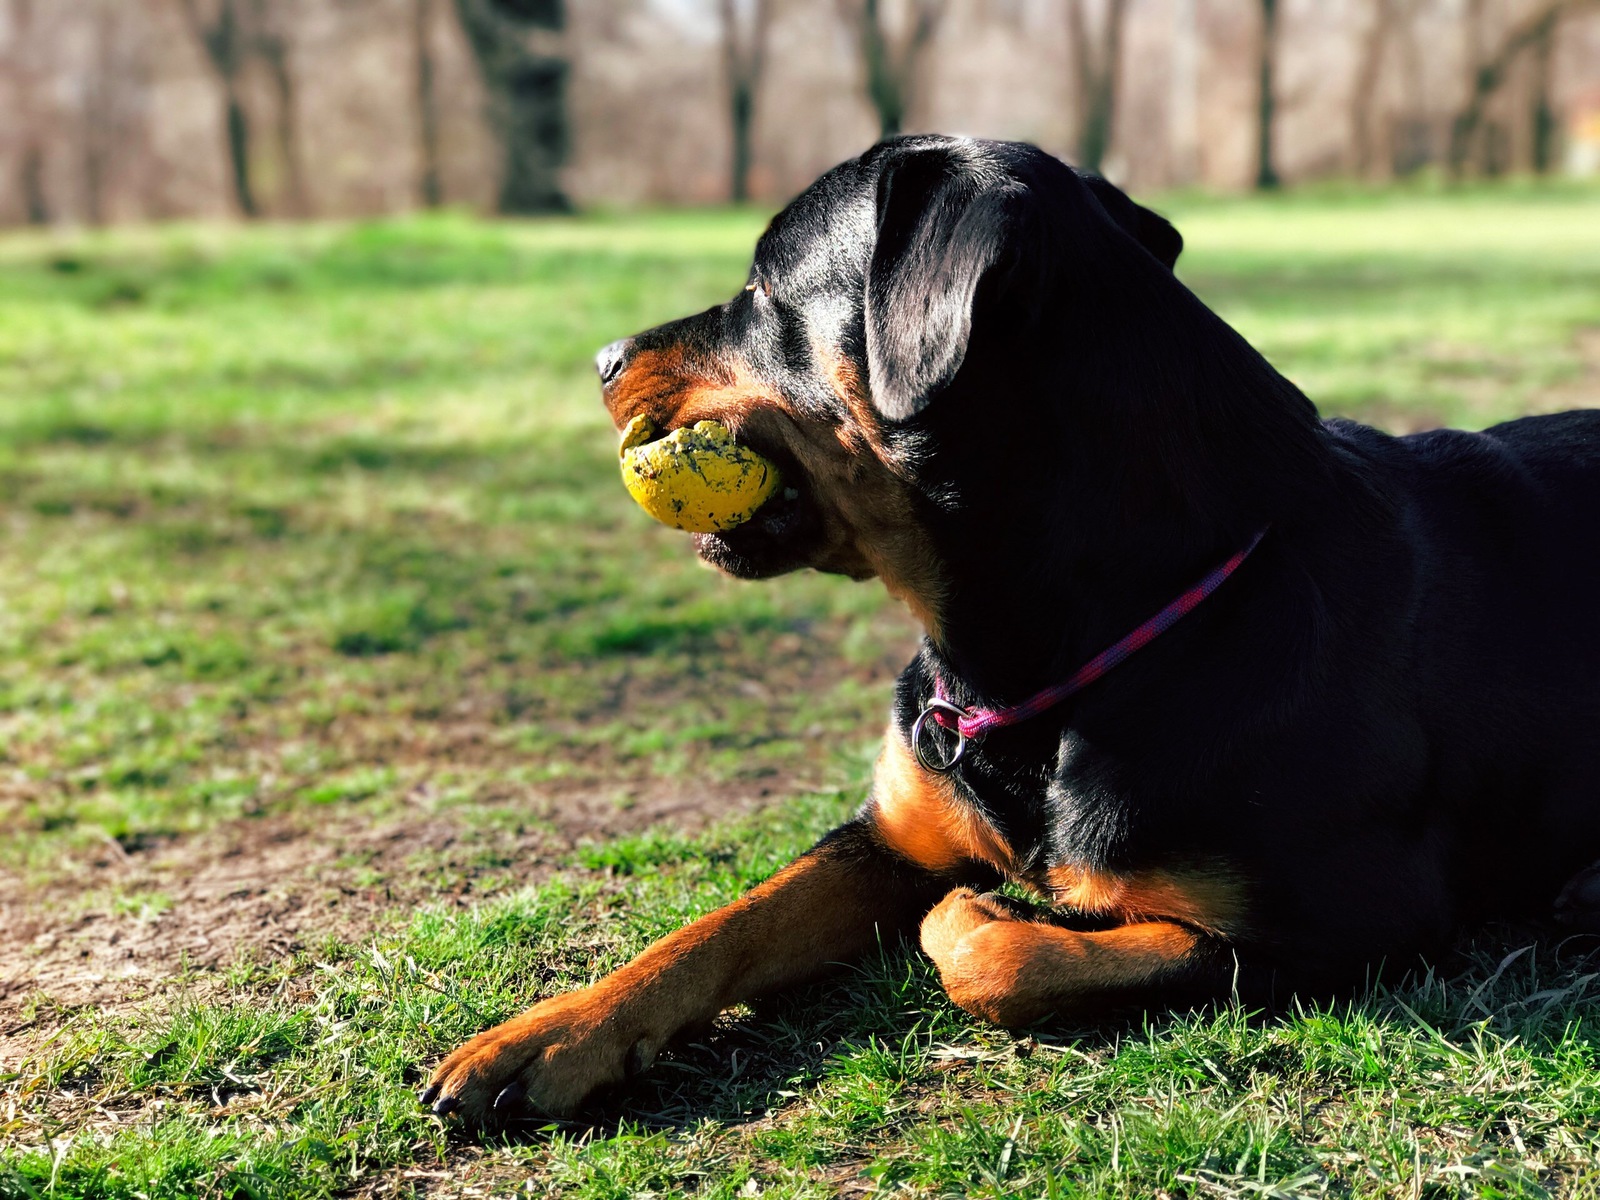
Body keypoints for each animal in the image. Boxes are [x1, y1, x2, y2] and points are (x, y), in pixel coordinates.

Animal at [422, 133, 1600, 1126]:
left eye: (763, 288)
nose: (602, 356)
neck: (1025, 654)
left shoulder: (1350, 924)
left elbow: (1007, 958)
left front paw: (980, 919)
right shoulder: (889, 832)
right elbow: (727, 920)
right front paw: (551, 1032)